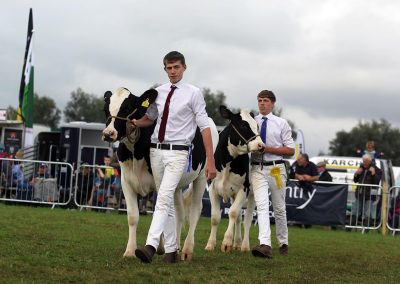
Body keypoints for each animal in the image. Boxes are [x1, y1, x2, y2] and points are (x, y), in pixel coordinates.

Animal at [101, 87, 217, 262]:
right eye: (105, 109)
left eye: (126, 108)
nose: (108, 133)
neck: (136, 153)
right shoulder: (126, 182)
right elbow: (133, 216)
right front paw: (130, 250)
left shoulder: (158, 183)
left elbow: (159, 213)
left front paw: (160, 247)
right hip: (177, 184)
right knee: (179, 212)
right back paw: (176, 246)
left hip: (202, 177)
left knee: (195, 210)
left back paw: (187, 250)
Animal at [205, 106, 264, 253]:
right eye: (243, 125)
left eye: (257, 126)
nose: (261, 145)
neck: (228, 163)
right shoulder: (212, 188)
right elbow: (215, 217)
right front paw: (210, 244)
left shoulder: (243, 190)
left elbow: (232, 213)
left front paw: (226, 243)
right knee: (238, 218)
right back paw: (237, 243)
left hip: (252, 195)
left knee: (246, 220)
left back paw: (244, 246)